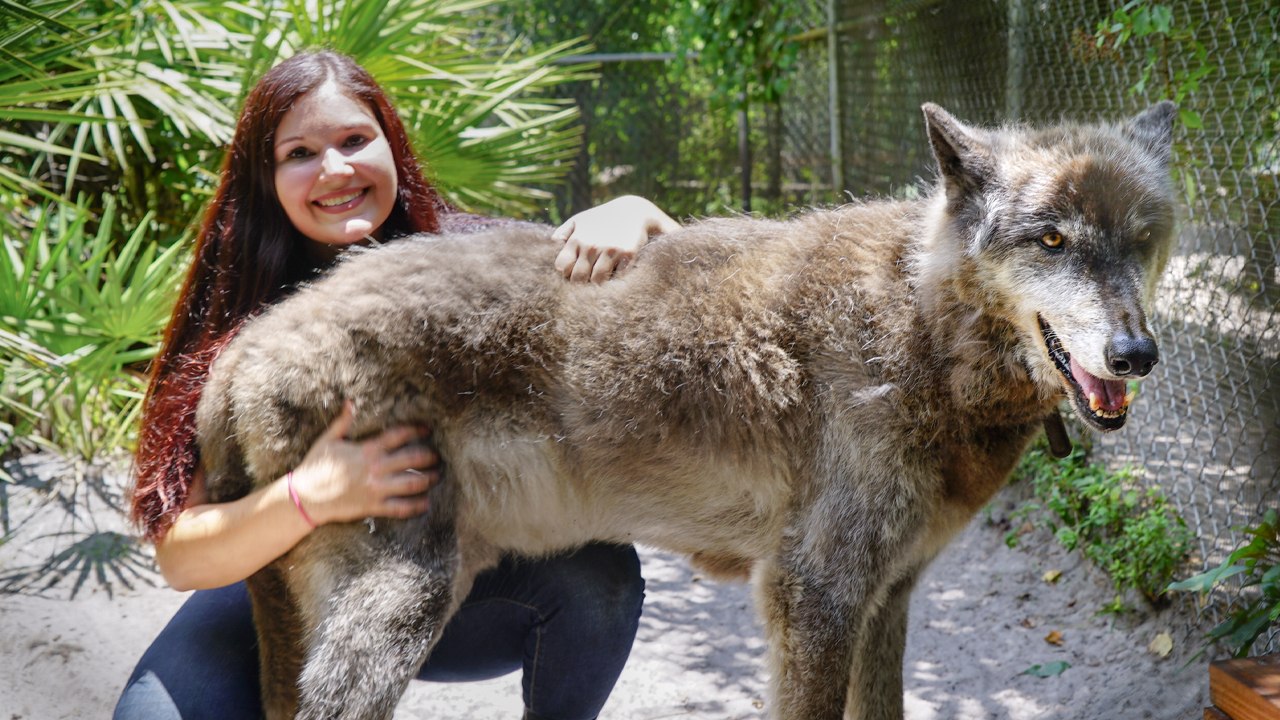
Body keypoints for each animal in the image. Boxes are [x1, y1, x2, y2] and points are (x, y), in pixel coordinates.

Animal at [197, 101, 1177, 719]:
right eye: (1051, 239)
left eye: (1142, 241)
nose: (1135, 355)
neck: (918, 327)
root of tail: (250, 339)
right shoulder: (815, 596)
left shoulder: (887, 597)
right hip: (403, 605)